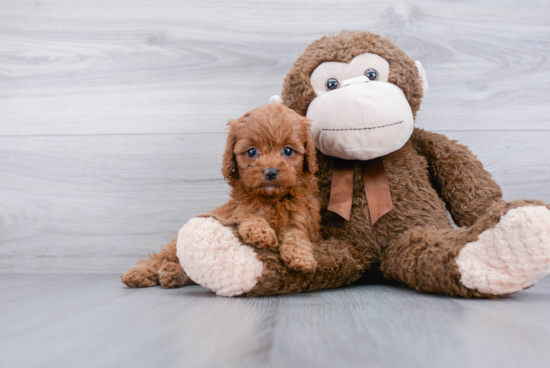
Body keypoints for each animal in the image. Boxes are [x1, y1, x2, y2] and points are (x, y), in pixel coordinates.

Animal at [121, 102, 320, 288]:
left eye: (287, 150)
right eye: (251, 152)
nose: (270, 172)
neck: (272, 200)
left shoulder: (302, 218)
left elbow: (297, 233)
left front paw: (300, 256)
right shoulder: (239, 210)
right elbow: (250, 216)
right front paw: (260, 231)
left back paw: (171, 274)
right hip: (174, 247)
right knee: (161, 257)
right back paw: (139, 273)